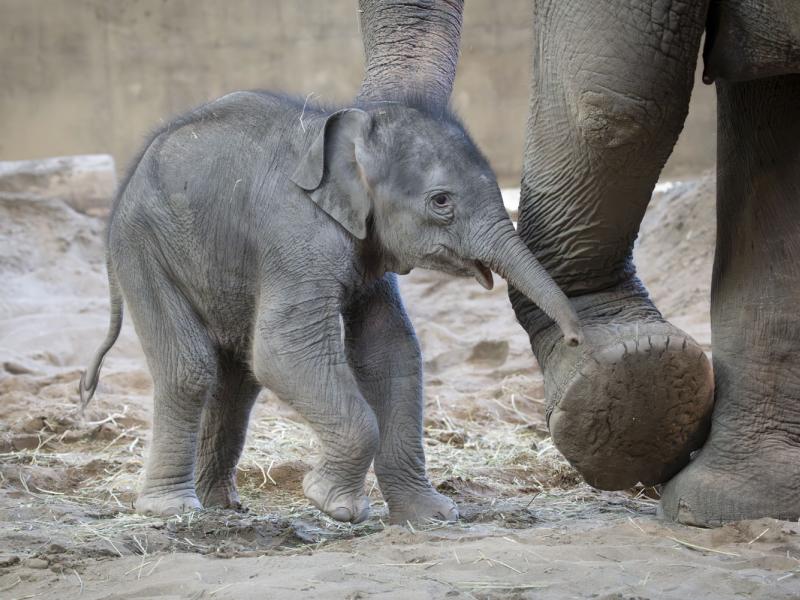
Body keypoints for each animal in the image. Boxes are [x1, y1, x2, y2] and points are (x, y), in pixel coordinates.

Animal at [81, 90, 580, 524]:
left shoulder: (367, 250)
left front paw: (433, 516)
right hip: (144, 247)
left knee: (236, 377)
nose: (576, 338)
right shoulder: (298, 237)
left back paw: (221, 505)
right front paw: (337, 507)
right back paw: (172, 509)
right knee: (190, 368)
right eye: (441, 201)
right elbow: (283, 352)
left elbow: (390, 353)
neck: (350, 135)